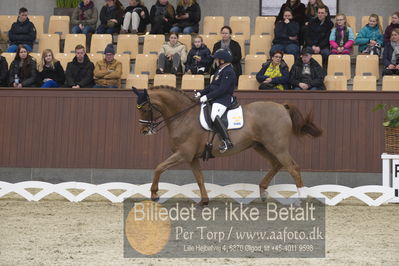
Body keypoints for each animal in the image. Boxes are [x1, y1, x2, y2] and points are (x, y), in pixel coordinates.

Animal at [133, 86, 324, 205]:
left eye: (145, 108)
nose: (144, 130)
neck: (183, 116)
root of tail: (282, 107)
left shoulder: (183, 154)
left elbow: (158, 167)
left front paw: (154, 194)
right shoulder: (192, 158)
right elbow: (199, 178)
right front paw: (204, 201)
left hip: (278, 147)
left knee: (293, 168)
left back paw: (300, 199)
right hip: (260, 146)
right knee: (277, 164)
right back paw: (263, 192)